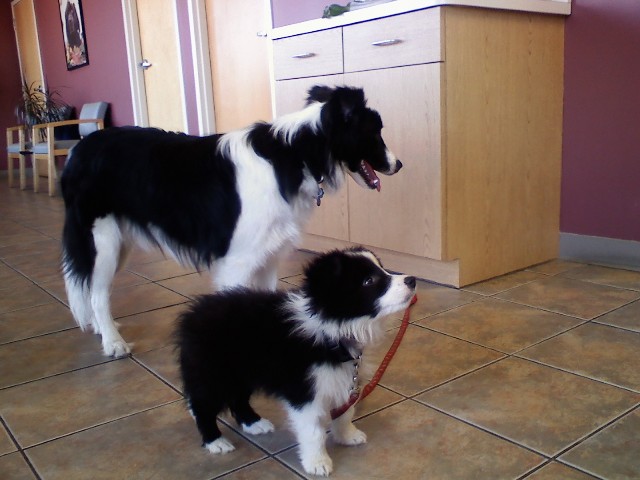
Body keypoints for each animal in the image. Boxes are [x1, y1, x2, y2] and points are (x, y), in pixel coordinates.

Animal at [60, 85, 400, 356]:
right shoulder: (238, 262)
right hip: (102, 240)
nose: (398, 165)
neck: (296, 153)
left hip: (118, 243)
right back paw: (113, 343)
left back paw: (102, 328)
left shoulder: (267, 256)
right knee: (97, 294)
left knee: (91, 288)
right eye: (375, 132)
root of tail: (78, 150)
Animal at [176, 248, 416, 476]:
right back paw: (215, 441)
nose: (412, 280)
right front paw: (317, 463)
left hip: (241, 372)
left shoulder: (345, 378)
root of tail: (193, 314)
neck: (332, 330)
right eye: (369, 281)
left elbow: (345, 411)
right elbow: (314, 431)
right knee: (202, 405)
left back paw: (254, 423)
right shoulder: (304, 392)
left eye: (382, 268)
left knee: (238, 399)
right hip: (213, 373)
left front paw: (348, 436)